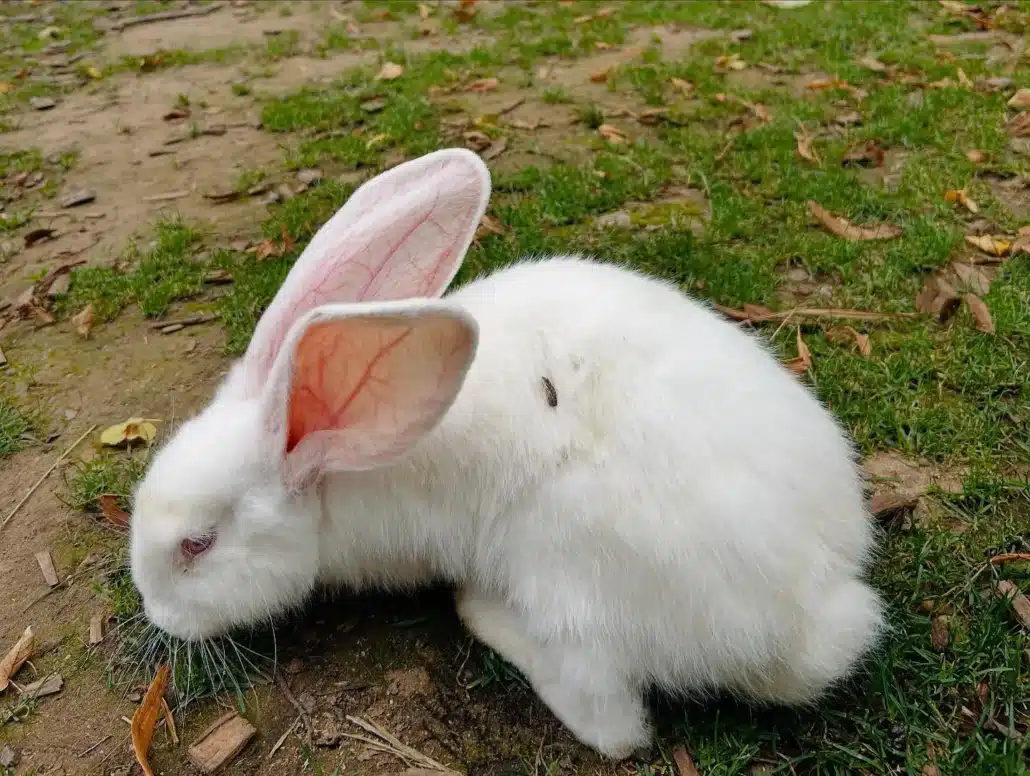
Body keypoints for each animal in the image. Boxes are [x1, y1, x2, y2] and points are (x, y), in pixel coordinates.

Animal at [130, 147, 885, 760]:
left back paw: (487, 615)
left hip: (562, 566)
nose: (158, 616)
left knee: (613, 723)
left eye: (197, 544)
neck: (333, 470)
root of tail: (815, 609)